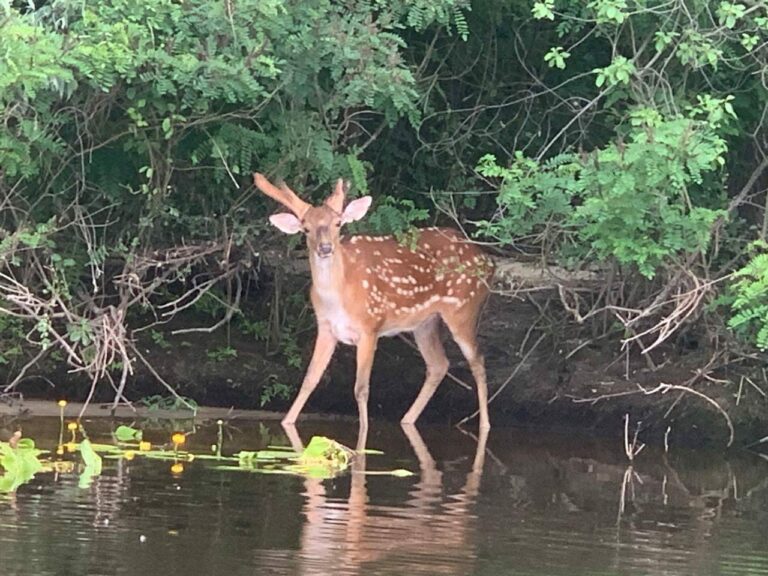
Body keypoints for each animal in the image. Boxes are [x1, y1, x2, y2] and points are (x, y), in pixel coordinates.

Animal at [252, 173, 492, 434]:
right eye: (306, 229)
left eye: (338, 223)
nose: (325, 248)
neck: (339, 296)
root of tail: (487, 260)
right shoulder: (326, 327)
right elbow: (309, 379)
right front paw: (287, 422)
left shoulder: (370, 325)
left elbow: (361, 389)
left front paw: (364, 431)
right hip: (424, 322)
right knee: (439, 364)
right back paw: (407, 420)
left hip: (463, 308)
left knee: (477, 360)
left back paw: (485, 425)